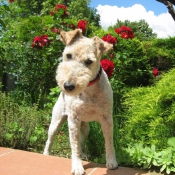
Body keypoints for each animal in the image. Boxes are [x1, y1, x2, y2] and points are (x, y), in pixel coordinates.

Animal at [43, 29, 117, 175]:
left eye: (89, 61)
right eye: (68, 55)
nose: (68, 86)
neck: (88, 89)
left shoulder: (107, 119)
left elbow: (109, 142)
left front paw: (112, 162)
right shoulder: (73, 120)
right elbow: (74, 145)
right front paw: (77, 167)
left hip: (85, 127)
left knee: (82, 141)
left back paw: (83, 154)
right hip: (56, 121)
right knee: (50, 140)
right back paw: (46, 155)